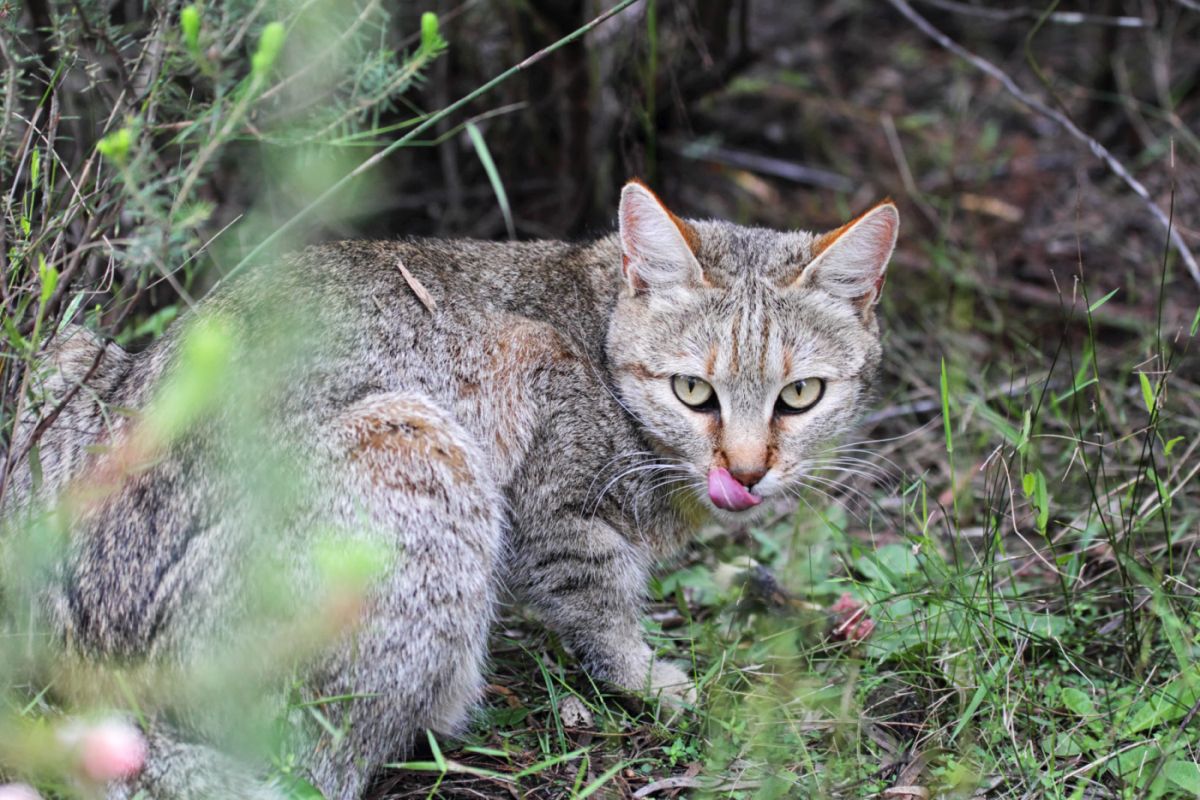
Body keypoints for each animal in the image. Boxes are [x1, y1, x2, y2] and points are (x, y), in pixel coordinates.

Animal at [2, 181, 902, 800]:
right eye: (693, 392)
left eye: (799, 396)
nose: (746, 471)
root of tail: (99, 686)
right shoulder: (558, 505)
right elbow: (601, 605)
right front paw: (648, 678)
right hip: (417, 442)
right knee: (319, 769)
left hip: (66, 354)